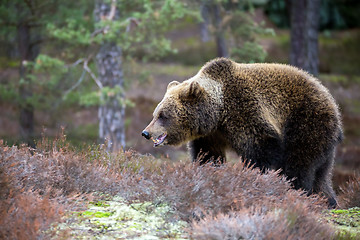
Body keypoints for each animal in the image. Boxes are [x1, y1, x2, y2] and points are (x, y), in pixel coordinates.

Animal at [141, 58, 344, 208]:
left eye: (163, 115)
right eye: (155, 114)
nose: (145, 132)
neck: (218, 113)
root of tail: (332, 101)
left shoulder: (246, 113)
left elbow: (261, 152)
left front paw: (256, 181)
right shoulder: (212, 135)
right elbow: (209, 155)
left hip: (306, 123)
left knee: (300, 164)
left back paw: (297, 192)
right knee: (321, 173)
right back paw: (328, 201)